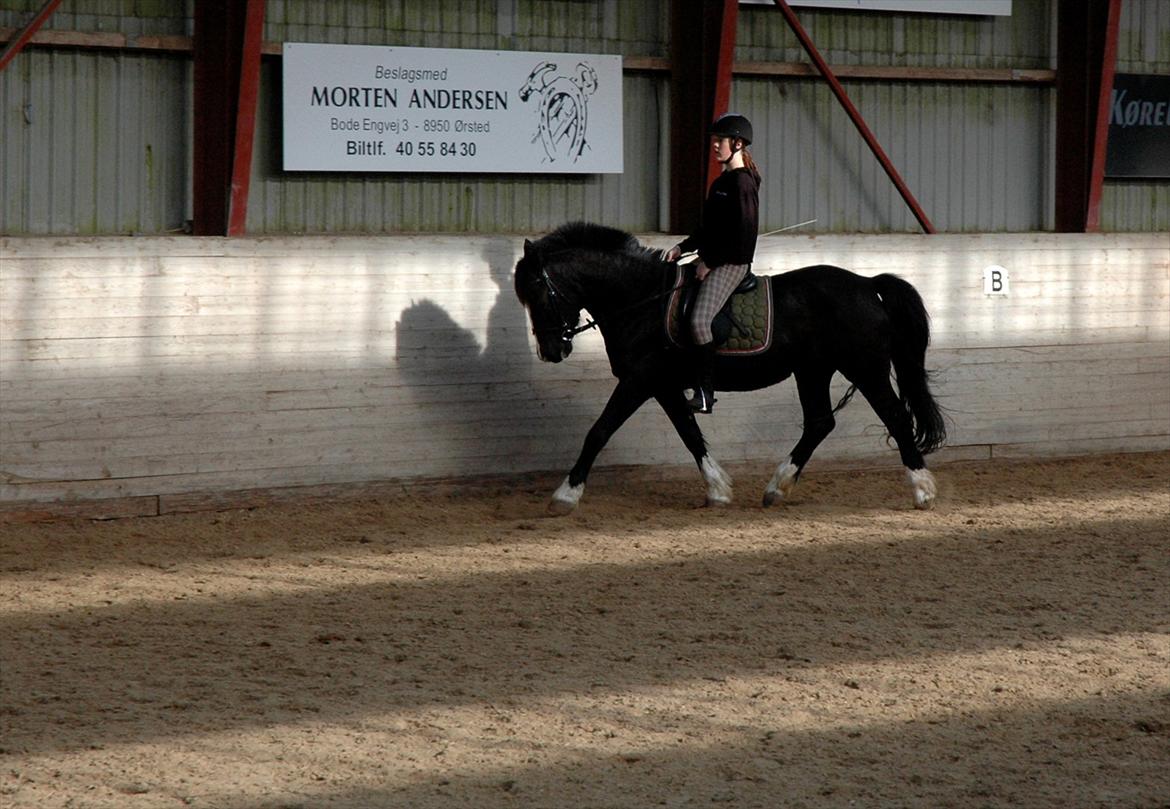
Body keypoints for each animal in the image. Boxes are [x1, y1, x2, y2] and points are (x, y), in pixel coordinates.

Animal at [517, 221, 945, 512]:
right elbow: (690, 434)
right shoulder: (663, 385)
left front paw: (565, 495)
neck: (642, 299)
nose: (551, 351)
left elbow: (599, 431)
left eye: (538, 292)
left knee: (895, 417)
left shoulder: (640, 380)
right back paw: (777, 488)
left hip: (864, 368)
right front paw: (719, 490)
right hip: (813, 370)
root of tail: (867, 284)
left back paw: (924, 490)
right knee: (820, 422)